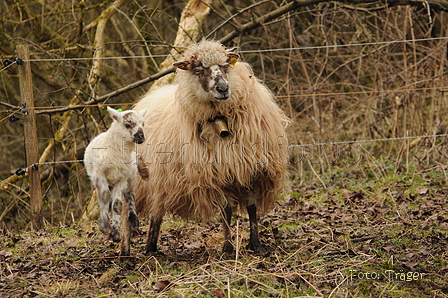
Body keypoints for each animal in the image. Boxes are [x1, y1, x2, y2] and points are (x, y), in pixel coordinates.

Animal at [84, 106, 147, 256]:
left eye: (143, 124)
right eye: (128, 125)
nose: (141, 137)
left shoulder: (121, 179)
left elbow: (117, 204)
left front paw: (116, 233)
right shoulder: (100, 175)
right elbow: (104, 197)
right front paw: (105, 226)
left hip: (131, 177)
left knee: (130, 196)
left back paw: (133, 221)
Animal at [135, 39, 288, 254]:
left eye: (225, 66)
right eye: (198, 69)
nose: (223, 88)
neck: (220, 117)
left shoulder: (251, 169)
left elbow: (252, 208)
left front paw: (256, 245)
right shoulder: (216, 172)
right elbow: (226, 210)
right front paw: (228, 248)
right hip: (153, 178)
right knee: (156, 211)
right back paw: (150, 248)